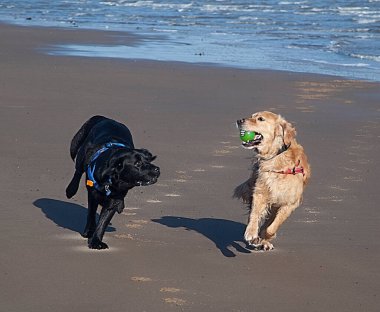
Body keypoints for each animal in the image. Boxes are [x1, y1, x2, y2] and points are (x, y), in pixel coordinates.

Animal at [65, 116, 160, 250]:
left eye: (148, 160)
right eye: (137, 164)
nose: (157, 169)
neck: (111, 182)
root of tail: (105, 118)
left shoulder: (113, 200)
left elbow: (103, 222)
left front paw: (96, 240)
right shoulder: (93, 193)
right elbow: (91, 213)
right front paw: (89, 232)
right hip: (83, 154)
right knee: (78, 171)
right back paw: (70, 190)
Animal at [235, 111, 312, 250]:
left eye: (260, 119)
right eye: (252, 116)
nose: (239, 120)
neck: (276, 155)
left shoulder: (290, 203)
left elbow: (273, 226)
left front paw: (265, 236)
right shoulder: (260, 191)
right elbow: (254, 214)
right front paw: (251, 233)